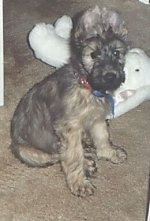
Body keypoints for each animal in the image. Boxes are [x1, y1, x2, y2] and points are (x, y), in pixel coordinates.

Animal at [10, 6, 127, 197]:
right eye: (93, 55)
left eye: (117, 53)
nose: (110, 76)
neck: (87, 86)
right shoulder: (69, 127)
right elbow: (73, 156)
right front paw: (79, 183)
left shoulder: (97, 118)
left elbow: (102, 136)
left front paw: (109, 153)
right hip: (28, 152)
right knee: (57, 155)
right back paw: (87, 162)